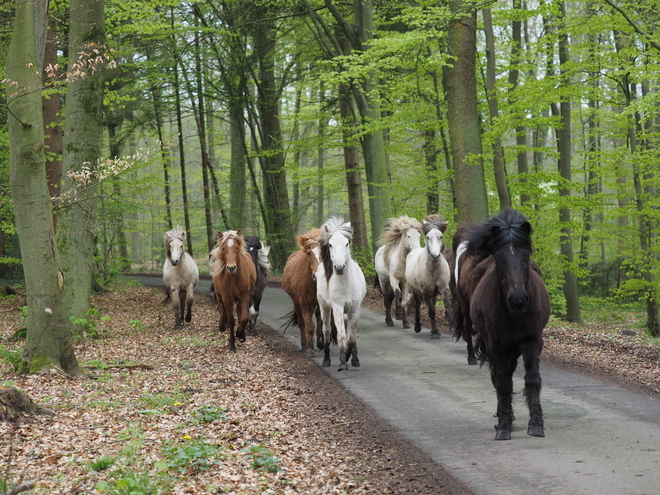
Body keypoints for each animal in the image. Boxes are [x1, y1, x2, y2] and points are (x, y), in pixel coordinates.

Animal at [316, 218, 366, 372]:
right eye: (330, 244)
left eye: (347, 243)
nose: (339, 268)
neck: (346, 285)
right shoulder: (338, 308)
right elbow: (342, 335)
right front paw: (343, 362)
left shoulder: (355, 309)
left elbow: (351, 337)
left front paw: (351, 357)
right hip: (325, 308)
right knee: (327, 330)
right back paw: (326, 360)